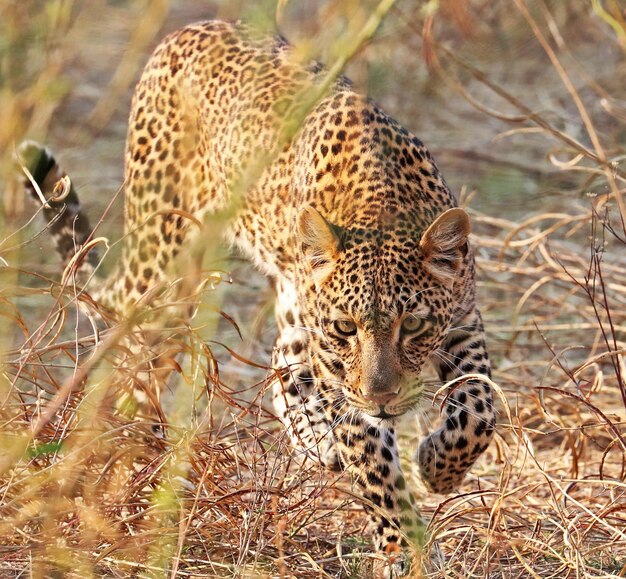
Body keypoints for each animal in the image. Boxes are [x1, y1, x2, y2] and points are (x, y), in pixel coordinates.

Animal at [19, 19, 494, 576]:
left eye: (413, 326)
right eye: (346, 328)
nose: (383, 397)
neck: (380, 205)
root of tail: (189, 28)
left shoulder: (463, 318)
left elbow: (480, 407)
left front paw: (438, 468)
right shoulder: (337, 363)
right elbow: (374, 464)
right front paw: (405, 547)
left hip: (280, 292)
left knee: (282, 358)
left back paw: (315, 441)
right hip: (168, 265)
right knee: (137, 360)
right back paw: (138, 458)